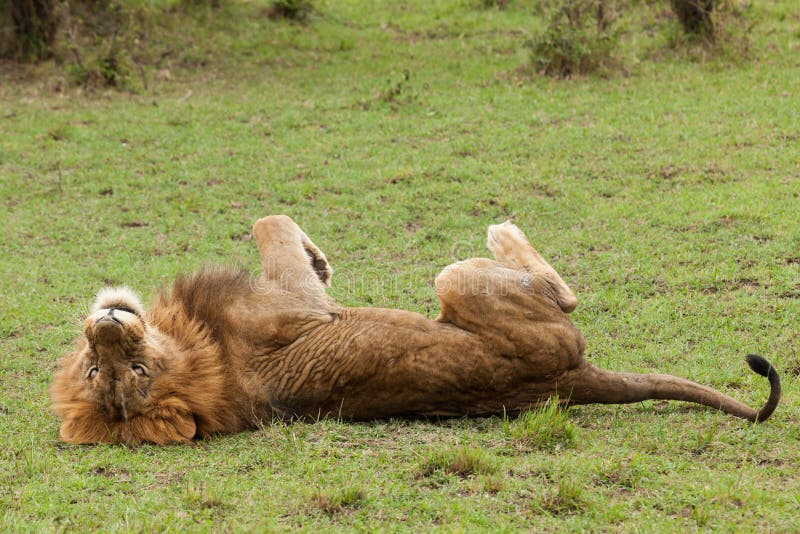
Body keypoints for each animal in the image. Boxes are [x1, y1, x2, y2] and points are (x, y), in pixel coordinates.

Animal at [50, 216, 780, 446]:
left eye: (119, 370)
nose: (108, 325)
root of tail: (569, 382)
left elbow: (269, 223)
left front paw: (321, 256)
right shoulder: (302, 306)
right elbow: (272, 225)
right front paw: (319, 257)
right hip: (458, 282)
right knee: (559, 293)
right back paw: (502, 230)